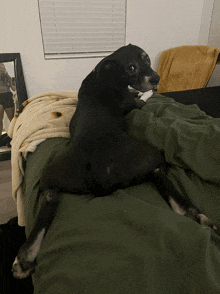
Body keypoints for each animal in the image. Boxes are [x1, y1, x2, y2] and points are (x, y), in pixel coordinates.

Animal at [11, 44, 215, 280]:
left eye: (147, 59)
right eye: (131, 68)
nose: (156, 78)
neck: (107, 74)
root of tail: (99, 170)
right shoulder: (134, 103)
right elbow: (143, 96)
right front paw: (148, 91)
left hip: (52, 175)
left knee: (50, 198)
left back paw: (25, 258)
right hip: (150, 155)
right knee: (159, 173)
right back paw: (195, 214)